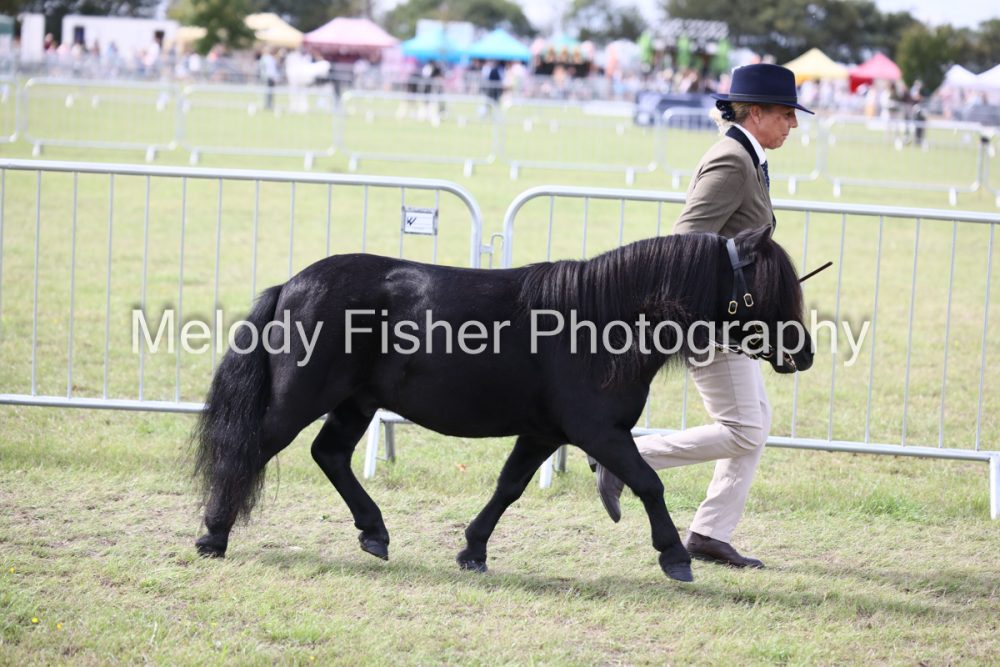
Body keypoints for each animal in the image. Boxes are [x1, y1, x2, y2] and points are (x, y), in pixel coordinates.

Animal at [193, 225, 814, 583]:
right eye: (767, 287)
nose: (803, 353)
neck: (599, 320)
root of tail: (292, 285)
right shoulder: (598, 432)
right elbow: (649, 482)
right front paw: (676, 556)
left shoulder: (544, 433)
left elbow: (508, 487)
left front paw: (472, 551)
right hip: (301, 400)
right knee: (252, 449)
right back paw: (213, 536)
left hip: (355, 403)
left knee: (330, 455)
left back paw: (374, 532)